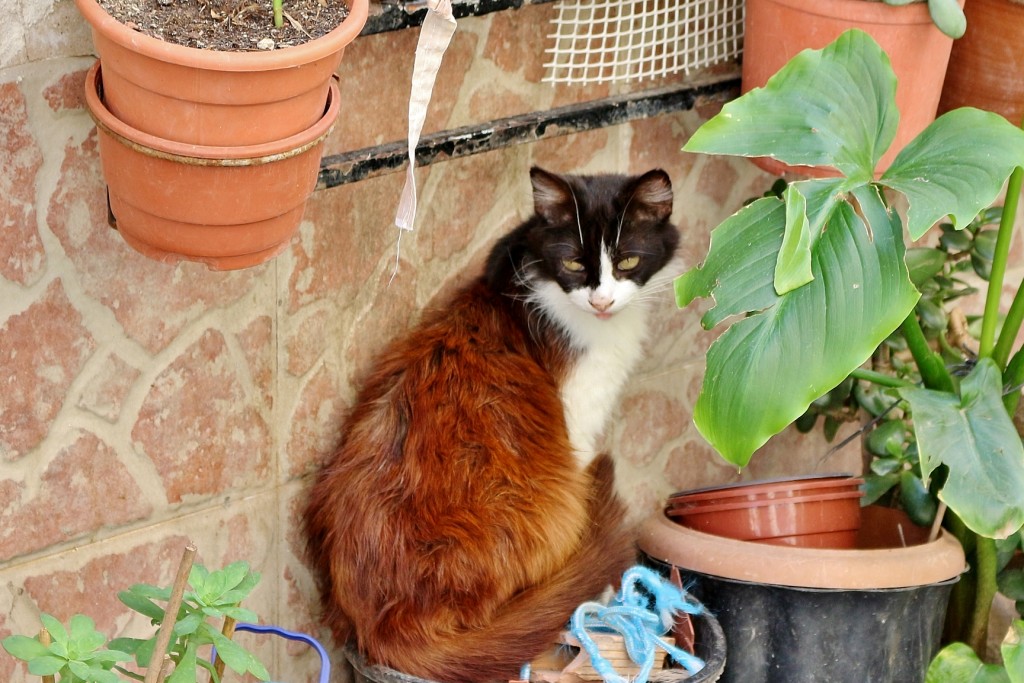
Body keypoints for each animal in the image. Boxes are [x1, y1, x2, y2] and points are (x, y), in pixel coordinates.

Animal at [303, 166, 684, 683]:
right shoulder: (578, 428)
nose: (602, 301)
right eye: (572, 265)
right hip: (549, 504)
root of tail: (381, 627)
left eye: (627, 260)